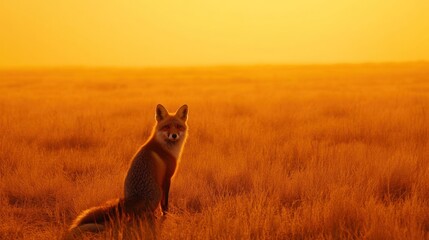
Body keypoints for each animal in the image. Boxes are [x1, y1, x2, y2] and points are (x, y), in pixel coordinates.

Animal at [66, 104, 187, 237]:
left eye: (178, 126)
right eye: (166, 127)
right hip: (158, 192)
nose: (174, 135)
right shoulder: (166, 179)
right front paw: (166, 218)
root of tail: (130, 200)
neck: (165, 148)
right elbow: (165, 205)